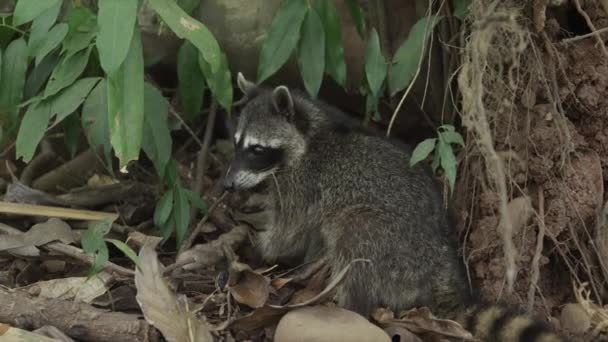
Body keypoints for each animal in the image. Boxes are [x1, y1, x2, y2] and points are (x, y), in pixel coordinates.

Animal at [224, 73, 568, 342]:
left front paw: (256, 247)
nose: (227, 185)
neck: (310, 133)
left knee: (353, 233)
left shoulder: (301, 184)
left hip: (393, 248)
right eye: (237, 143)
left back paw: (346, 305)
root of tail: (442, 268)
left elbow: (287, 233)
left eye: (257, 149)